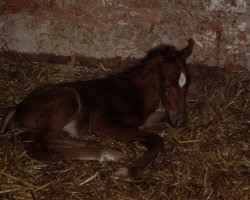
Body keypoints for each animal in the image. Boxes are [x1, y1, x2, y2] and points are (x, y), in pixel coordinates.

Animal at [0, 39, 194, 178]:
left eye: (187, 84)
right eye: (167, 85)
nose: (180, 121)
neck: (134, 93)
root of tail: (18, 106)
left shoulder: (145, 121)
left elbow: (161, 122)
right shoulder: (104, 124)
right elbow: (156, 139)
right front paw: (128, 171)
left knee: (43, 140)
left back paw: (106, 151)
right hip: (69, 99)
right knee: (39, 146)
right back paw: (108, 154)